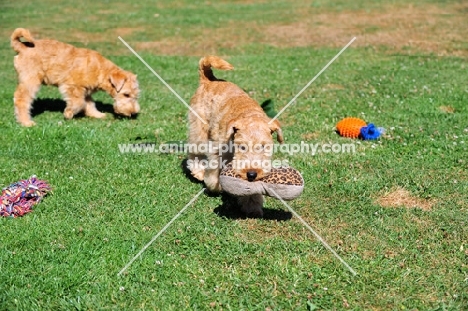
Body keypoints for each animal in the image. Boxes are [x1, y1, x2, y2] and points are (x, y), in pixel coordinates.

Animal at [11, 27, 139, 127]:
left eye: (136, 95)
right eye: (126, 94)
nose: (133, 113)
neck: (101, 70)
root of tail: (22, 47)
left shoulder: (86, 91)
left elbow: (89, 104)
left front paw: (98, 115)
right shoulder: (71, 87)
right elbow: (79, 103)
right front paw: (68, 113)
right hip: (31, 81)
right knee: (21, 100)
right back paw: (26, 122)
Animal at [187, 54, 284, 218]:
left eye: (264, 147)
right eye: (242, 146)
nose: (251, 174)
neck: (248, 113)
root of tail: (209, 79)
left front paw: (253, 207)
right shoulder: (218, 150)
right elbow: (214, 174)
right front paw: (216, 186)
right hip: (199, 130)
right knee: (194, 154)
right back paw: (199, 172)